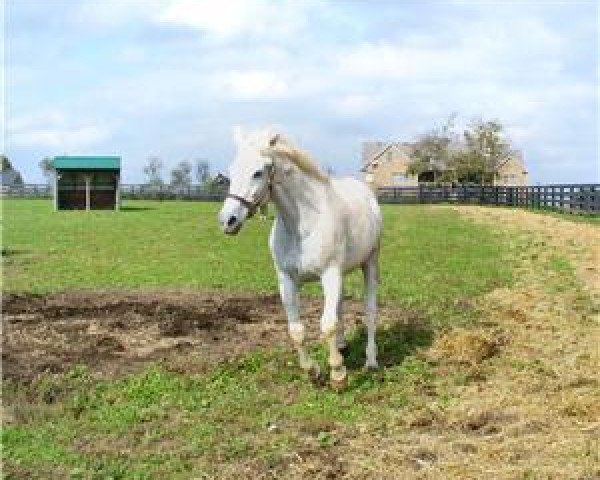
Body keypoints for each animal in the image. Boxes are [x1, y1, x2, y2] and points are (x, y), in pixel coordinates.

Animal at [218, 128, 382, 390]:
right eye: (232, 170)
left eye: (258, 172)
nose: (228, 221)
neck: (304, 224)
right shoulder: (287, 279)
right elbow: (297, 330)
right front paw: (313, 371)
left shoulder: (329, 274)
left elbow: (327, 325)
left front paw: (338, 375)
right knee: (339, 307)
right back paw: (343, 347)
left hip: (370, 263)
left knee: (370, 309)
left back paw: (371, 361)